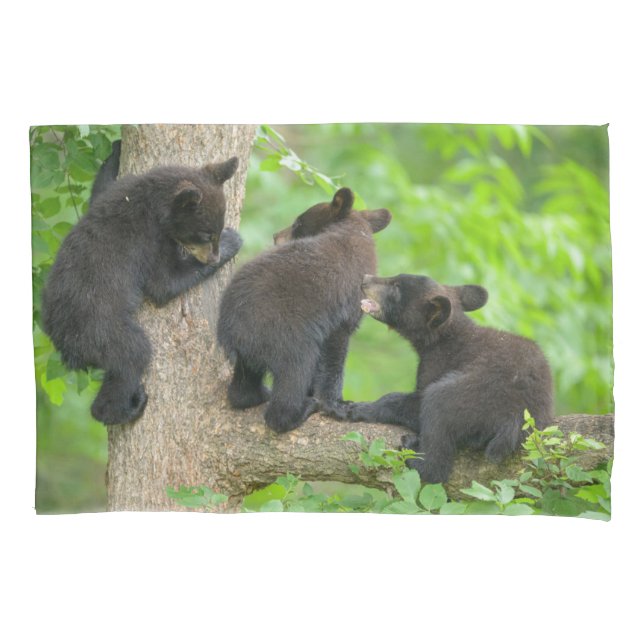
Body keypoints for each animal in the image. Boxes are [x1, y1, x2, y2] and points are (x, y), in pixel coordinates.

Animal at [41, 156, 242, 426]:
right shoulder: (148, 240)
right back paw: (127, 408)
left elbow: (100, 188)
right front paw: (234, 241)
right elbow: (163, 283)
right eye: (206, 234)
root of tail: (63, 343)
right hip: (100, 331)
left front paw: (114, 152)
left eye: (215, 231)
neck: (151, 201)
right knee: (132, 356)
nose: (214, 258)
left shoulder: (113, 193)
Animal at [216, 187, 392, 433]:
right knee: (296, 372)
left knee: (244, 384)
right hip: (286, 335)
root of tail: (230, 331)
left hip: (251, 351)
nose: (275, 236)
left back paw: (256, 395)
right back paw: (300, 409)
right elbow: (334, 356)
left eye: (298, 222)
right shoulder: (341, 309)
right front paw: (337, 404)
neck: (354, 232)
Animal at [324, 273, 554, 483]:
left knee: (438, 414)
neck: (443, 338)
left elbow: (414, 402)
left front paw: (355, 408)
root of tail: (515, 418)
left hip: (477, 394)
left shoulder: (438, 363)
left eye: (396, 286)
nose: (366, 278)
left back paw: (415, 455)